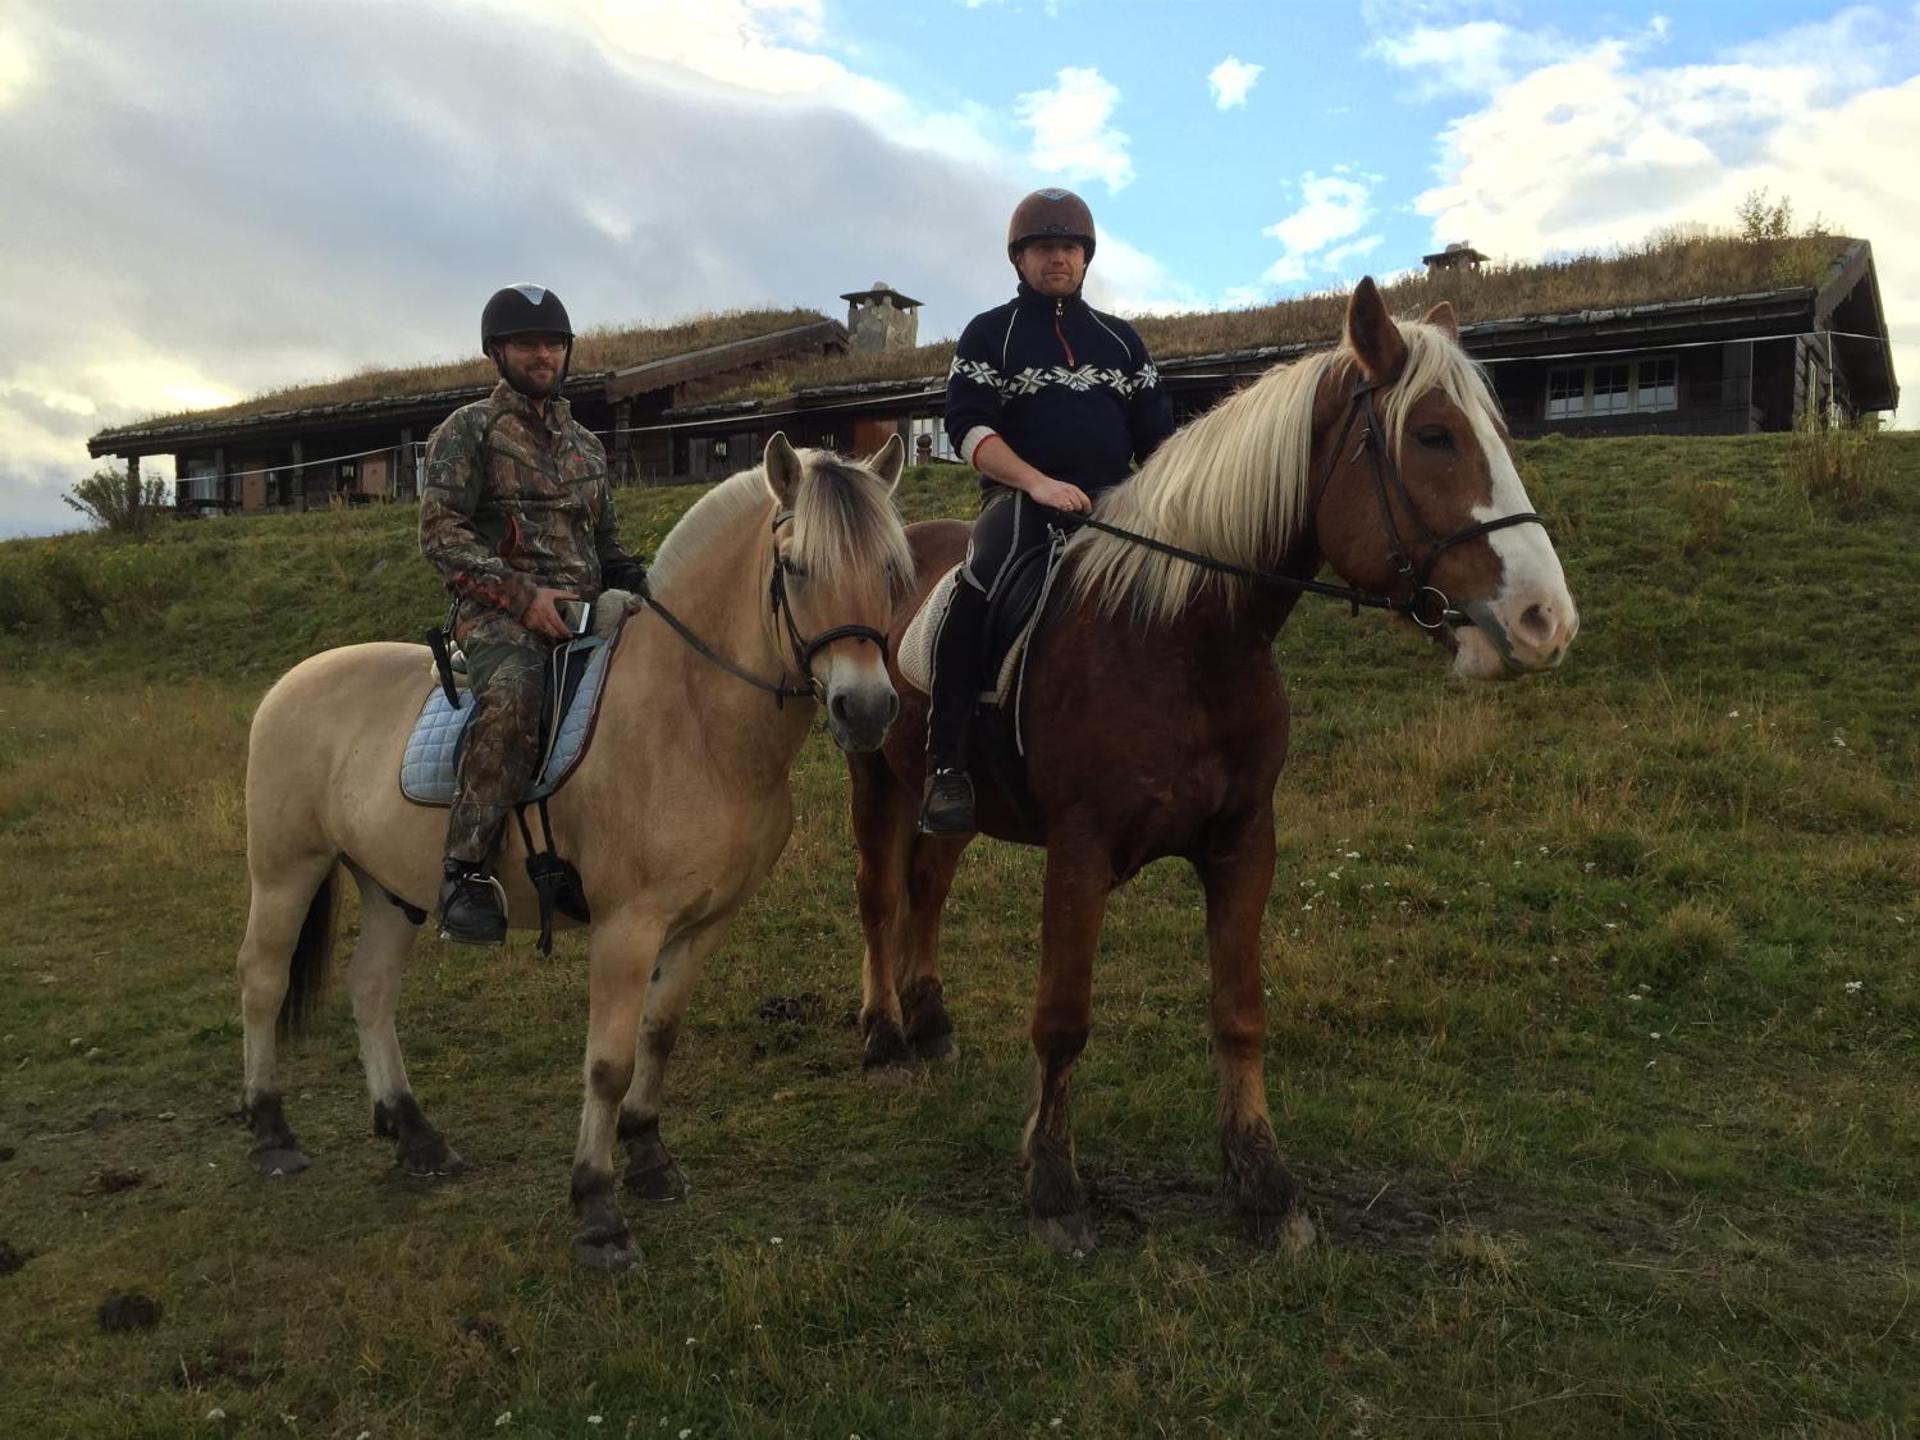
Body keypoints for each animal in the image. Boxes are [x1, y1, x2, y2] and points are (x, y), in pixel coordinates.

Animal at [237, 433, 911, 1271]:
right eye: (796, 567)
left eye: (893, 570)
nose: (867, 709)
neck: (693, 717)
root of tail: (291, 682)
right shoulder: (627, 927)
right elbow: (608, 1062)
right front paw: (598, 1208)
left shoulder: (706, 921)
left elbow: (659, 1034)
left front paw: (650, 1158)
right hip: (285, 870)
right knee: (262, 981)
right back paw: (271, 1132)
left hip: (392, 888)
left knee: (370, 988)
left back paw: (416, 1136)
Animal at [848, 279, 1579, 1254]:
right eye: (1432, 435)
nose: (1546, 621)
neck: (1179, 635)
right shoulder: (1079, 851)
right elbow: (1063, 1019)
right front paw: (1053, 1186)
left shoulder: (1244, 844)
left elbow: (1240, 1014)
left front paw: (1264, 1184)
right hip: (871, 773)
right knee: (880, 896)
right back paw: (885, 1036)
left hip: (950, 801)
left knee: (926, 888)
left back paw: (929, 1025)